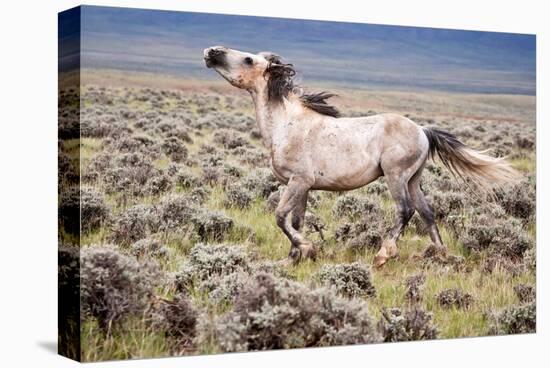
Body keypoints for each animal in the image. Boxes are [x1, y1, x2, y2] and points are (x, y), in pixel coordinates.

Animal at [205, 46, 520, 266]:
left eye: (248, 59)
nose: (211, 52)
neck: (287, 124)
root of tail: (422, 130)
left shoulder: (298, 181)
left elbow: (281, 217)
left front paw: (307, 249)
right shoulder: (302, 187)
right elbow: (296, 221)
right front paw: (294, 258)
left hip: (396, 176)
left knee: (405, 211)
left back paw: (383, 255)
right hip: (413, 179)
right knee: (427, 213)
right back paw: (440, 255)